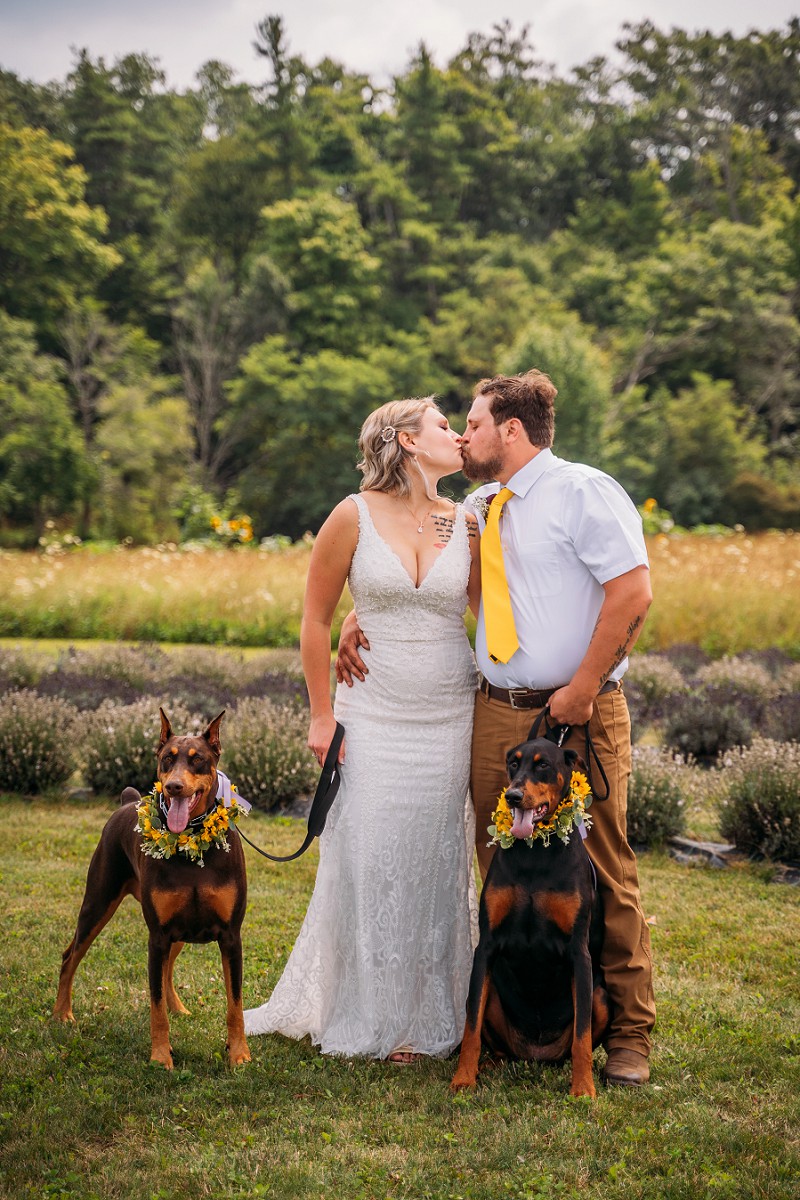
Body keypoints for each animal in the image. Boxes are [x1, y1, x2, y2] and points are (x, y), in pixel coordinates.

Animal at [52, 705, 248, 1065]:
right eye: (167, 759)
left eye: (198, 760)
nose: (173, 787)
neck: (190, 843)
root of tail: (126, 802)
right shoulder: (156, 935)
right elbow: (155, 1007)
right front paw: (160, 1056)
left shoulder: (230, 935)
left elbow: (235, 1003)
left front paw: (239, 1054)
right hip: (99, 901)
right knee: (70, 955)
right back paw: (62, 1013)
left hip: (179, 929)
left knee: (168, 967)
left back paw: (179, 1008)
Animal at [450, 729, 606, 1099]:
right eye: (513, 763)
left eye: (543, 765)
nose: (513, 796)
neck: (536, 852)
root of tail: (535, 1056)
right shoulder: (486, 947)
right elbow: (471, 1026)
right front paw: (463, 1078)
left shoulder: (579, 952)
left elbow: (582, 1035)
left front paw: (583, 1089)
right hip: (493, 992)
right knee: (492, 1039)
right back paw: (488, 1065)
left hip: (601, 995)